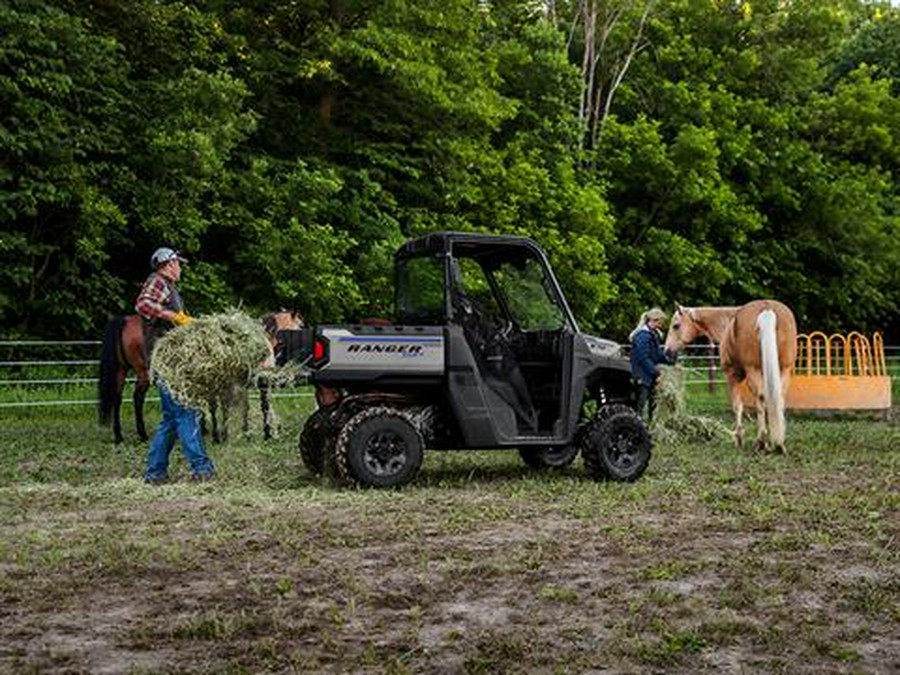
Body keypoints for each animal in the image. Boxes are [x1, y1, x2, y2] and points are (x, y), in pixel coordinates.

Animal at [98, 310, 302, 444]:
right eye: (301, 324)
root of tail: (125, 321)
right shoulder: (259, 381)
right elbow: (261, 405)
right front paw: (263, 433)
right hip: (143, 373)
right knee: (137, 398)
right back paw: (142, 434)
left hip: (121, 371)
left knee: (117, 399)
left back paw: (119, 435)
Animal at [664, 302, 800, 454]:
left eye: (676, 326)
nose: (667, 351)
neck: (728, 322)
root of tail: (767, 308)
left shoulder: (732, 375)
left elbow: (737, 406)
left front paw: (738, 438)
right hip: (784, 370)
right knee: (779, 399)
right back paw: (779, 444)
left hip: (754, 371)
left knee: (760, 399)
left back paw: (761, 442)